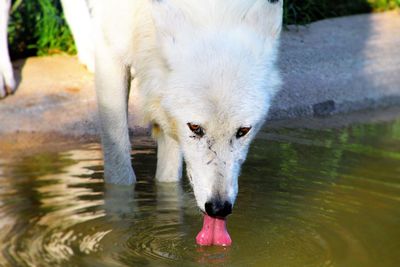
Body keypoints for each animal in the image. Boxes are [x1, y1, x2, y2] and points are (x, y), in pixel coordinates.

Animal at [94, 0, 282, 218]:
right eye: (195, 128)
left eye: (243, 131)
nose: (219, 208)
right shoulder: (108, 47)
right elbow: (119, 169)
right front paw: (120, 211)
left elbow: (168, 177)